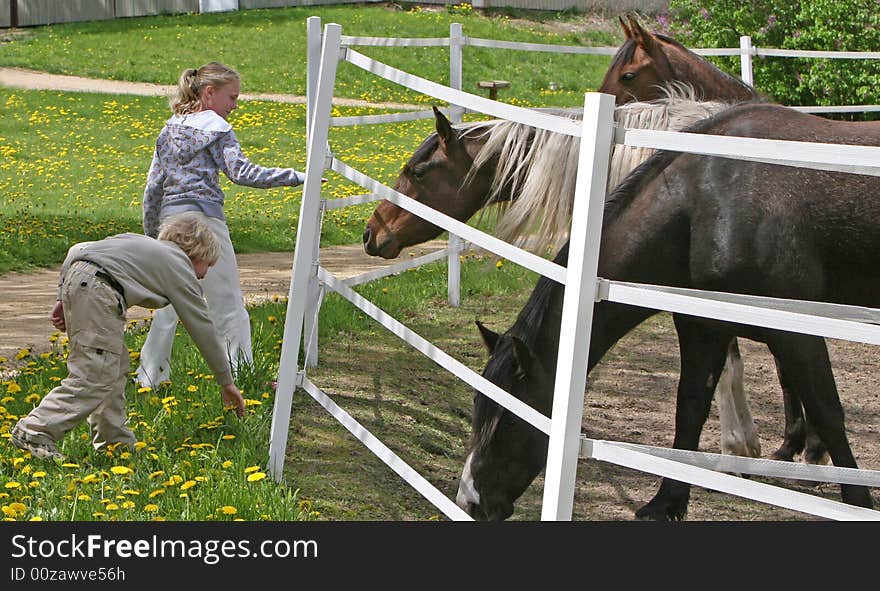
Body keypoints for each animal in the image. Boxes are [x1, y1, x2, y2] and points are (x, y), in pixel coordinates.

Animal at [458, 103, 880, 524]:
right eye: (477, 405)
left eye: (510, 415)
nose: (470, 501)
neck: (711, 198)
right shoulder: (704, 328)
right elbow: (690, 407)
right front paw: (666, 503)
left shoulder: (795, 333)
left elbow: (827, 411)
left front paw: (858, 503)